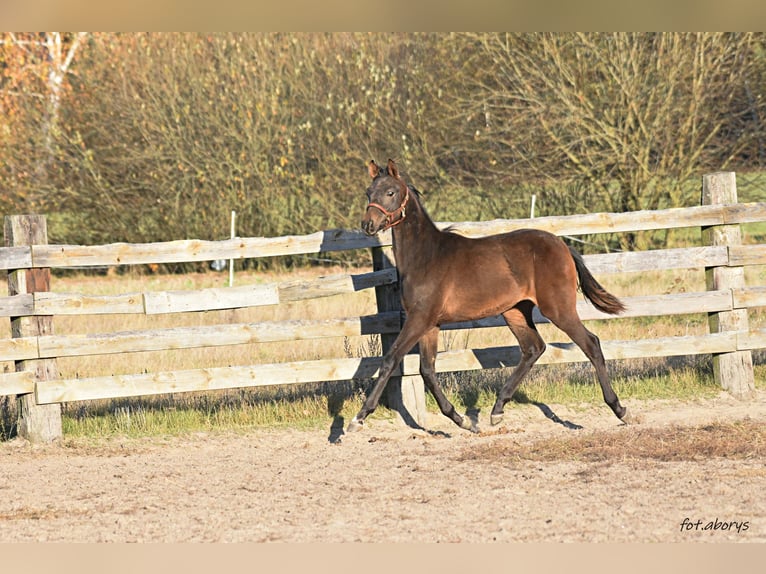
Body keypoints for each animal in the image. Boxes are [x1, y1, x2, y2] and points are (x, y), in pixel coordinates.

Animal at [348, 160, 632, 434]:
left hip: (558, 308)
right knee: (533, 348)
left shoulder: (419, 319)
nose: (368, 225)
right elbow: (427, 369)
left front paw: (357, 419)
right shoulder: (430, 324)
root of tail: (563, 245)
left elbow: (390, 360)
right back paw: (497, 410)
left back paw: (619, 409)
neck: (425, 256)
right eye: (368, 192)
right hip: (515, 310)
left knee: (591, 344)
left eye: (391, 192)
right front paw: (461, 420)